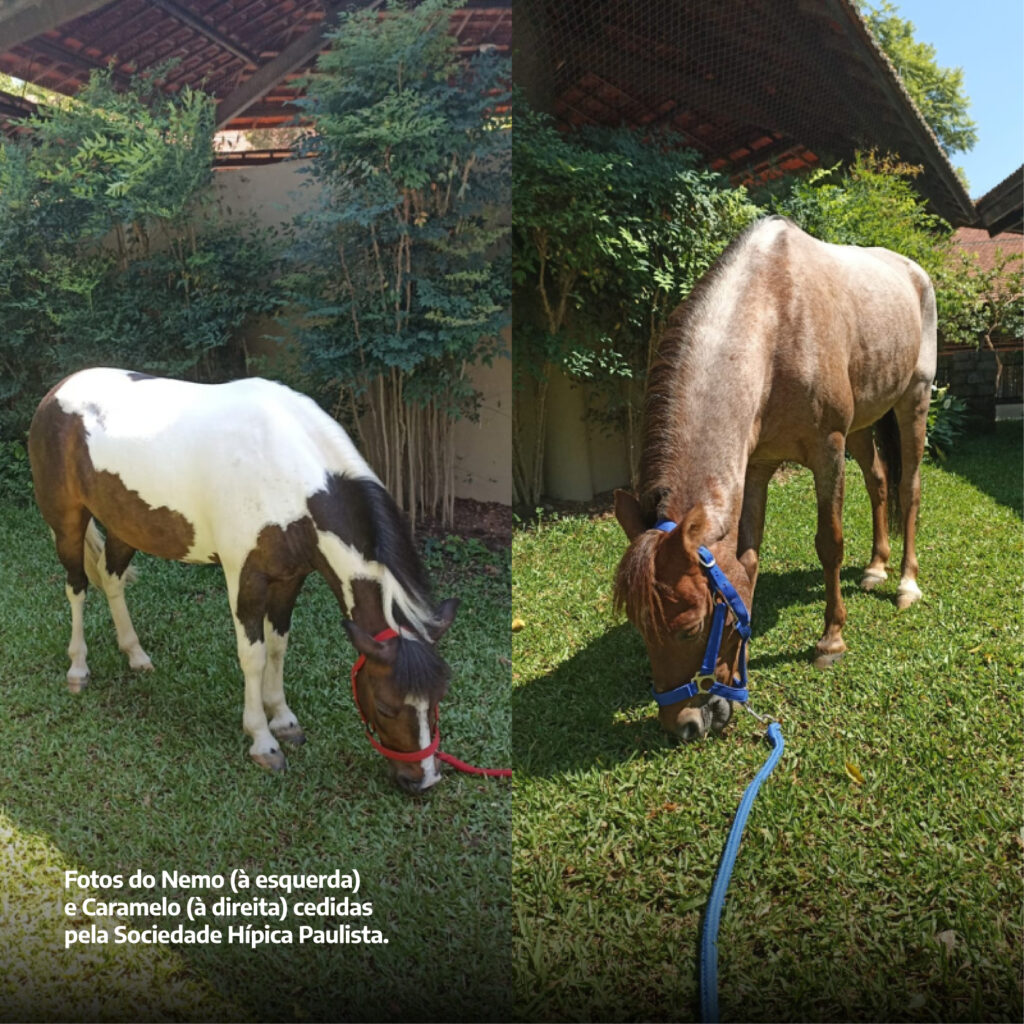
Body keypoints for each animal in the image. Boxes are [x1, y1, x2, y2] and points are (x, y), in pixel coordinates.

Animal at [29, 368, 460, 790]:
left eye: (439, 697)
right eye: (386, 705)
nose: (423, 780)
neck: (285, 471)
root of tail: (58, 390)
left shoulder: (290, 578)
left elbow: (278, 647)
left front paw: (283, 719)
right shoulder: (245, 577)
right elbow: (253, 656)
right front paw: (262, 741)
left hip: (126, 525)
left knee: (111, 578)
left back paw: (136, 655)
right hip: (68, 522)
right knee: (77, 587)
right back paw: (78, 669)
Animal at [614, 218, 937, 745]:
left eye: (689, 628)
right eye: (640, 629)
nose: (684, 726)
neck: (776, 320)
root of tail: (914, 271)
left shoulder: (828, 449)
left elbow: (829, 544)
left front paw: (831, 641)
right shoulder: (758, 467)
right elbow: (747, 561)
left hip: (914, 401)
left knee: (908, 489)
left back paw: (906, 584)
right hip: (865, 422)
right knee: (880, 483)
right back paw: (876, 568)